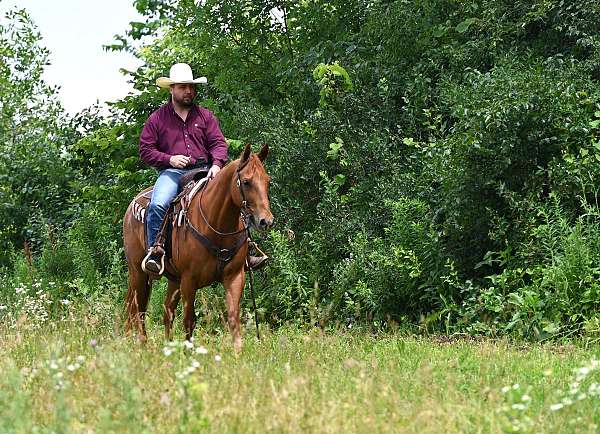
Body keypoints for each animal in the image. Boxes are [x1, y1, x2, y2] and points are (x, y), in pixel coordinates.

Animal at [124, 144, 274, 350]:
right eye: (246, 182)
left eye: (268, 182)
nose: (266, 221)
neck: (217, 224)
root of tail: (132, 205)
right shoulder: (189, 280)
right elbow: (189, 321)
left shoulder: (235, 276)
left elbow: (233, 319)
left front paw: (238, 353)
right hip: (138, 273)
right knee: (137, 311)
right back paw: (142, 346)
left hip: (174, 280)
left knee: (167, 312)